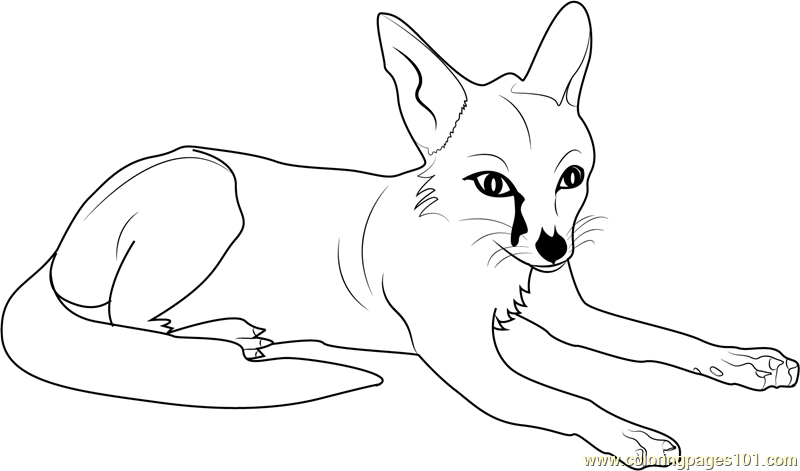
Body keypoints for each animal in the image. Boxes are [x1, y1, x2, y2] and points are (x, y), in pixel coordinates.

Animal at [2, 2, 796, 468]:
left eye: (571, 177)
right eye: (492, 184)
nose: (553, 249)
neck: (488, 259)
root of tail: (51, 249)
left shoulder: (569, 314)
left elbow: (672, 340)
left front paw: (745, 361)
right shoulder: (469, 360)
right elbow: (566, 399)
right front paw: (627, 429)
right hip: (210, 193)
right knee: (129, 321)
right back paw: (227, 333)